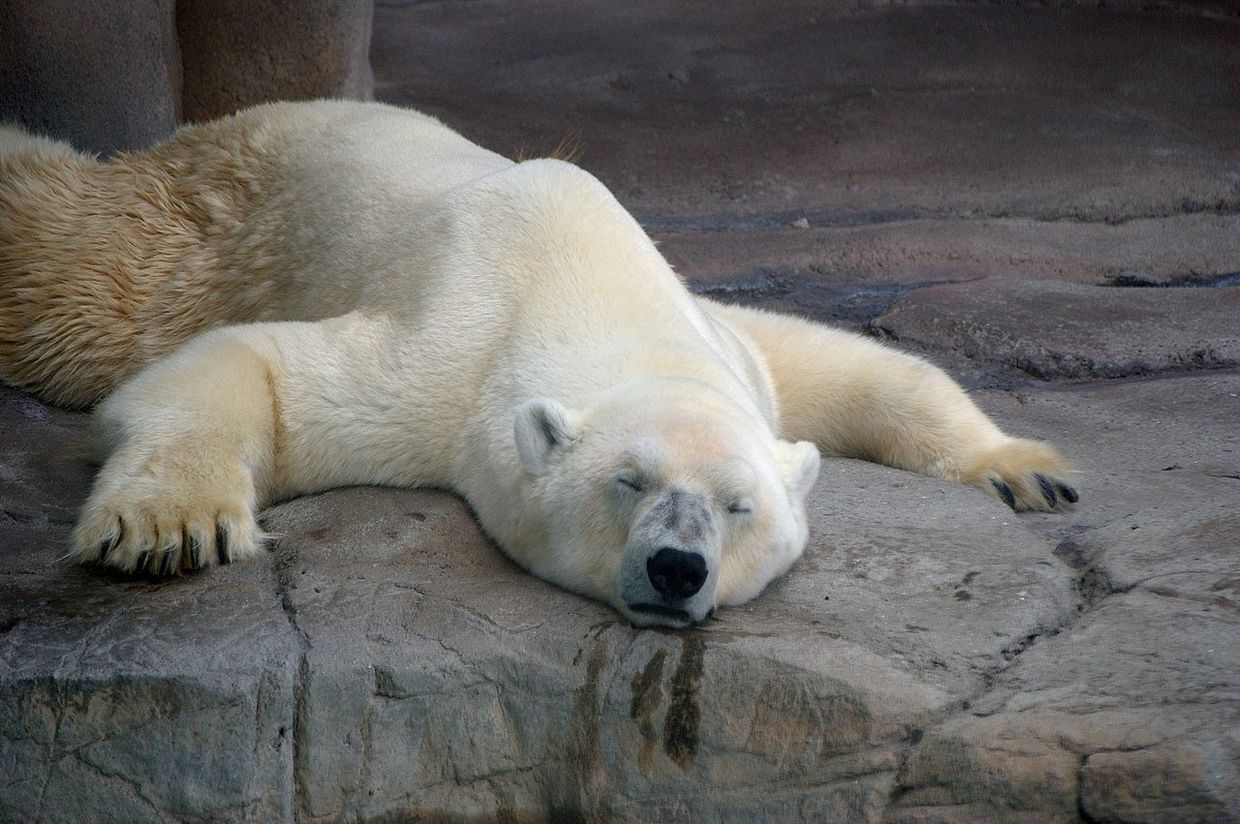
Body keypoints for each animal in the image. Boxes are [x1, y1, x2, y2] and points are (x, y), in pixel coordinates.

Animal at [0, 100, 1077, 627]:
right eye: (626, 481)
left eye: (740, 507)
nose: (677, 568)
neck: (593, 287)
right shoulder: (444, 358)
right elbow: (250, 368)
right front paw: (168, 528)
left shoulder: (724, 344)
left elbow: (832, 361)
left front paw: (1029, 469)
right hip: (206, 225)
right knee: (74, 274)